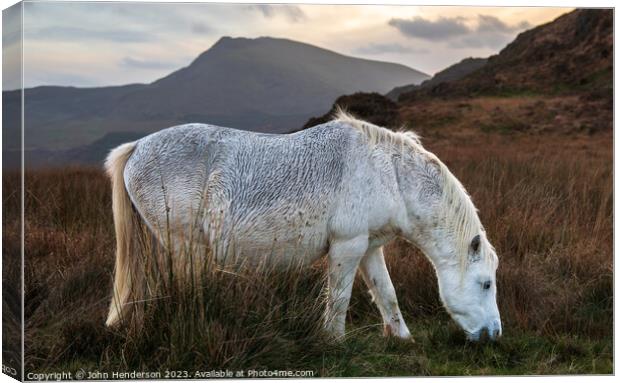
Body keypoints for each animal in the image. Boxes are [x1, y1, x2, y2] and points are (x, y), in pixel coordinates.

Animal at [105, 111, 504, 342]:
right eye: (486, 284)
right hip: (184, 246)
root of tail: (137, 147)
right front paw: (334, 342)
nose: (494, 335)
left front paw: (402, 337)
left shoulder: (369, 248)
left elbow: (386, 294)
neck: (389, 173)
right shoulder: (347, 246)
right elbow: (339, 298)